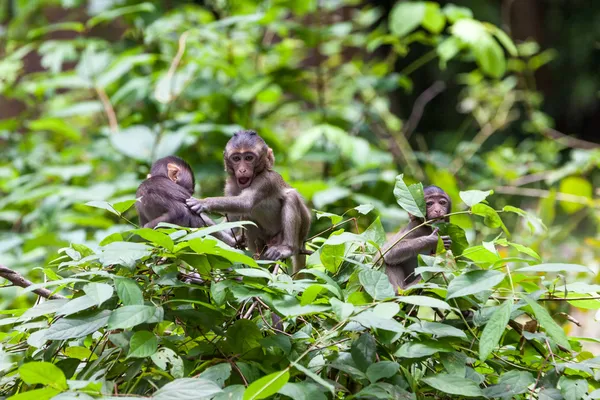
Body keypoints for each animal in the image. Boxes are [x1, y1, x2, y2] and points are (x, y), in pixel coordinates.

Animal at [185, 130, 312, 274]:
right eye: (236, 159)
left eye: (249, 158)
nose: (242, 170)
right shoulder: (230, 185)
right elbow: (232, 223)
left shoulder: (266, 181)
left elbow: (246, 203)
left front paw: (203, 203)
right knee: (248, 218)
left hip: (301, 228)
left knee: (291, 197)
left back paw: (288, 248)